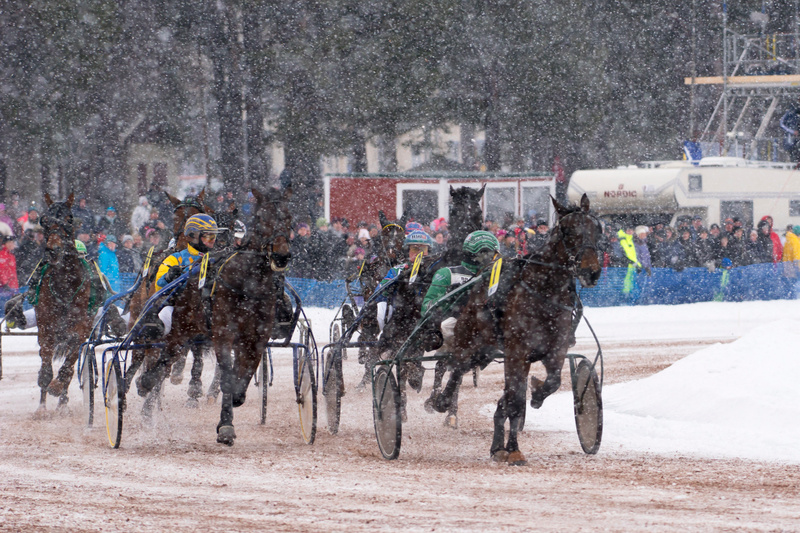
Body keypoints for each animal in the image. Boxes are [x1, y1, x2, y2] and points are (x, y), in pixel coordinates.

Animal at [31, 194, 95, 416]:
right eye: (44, 220)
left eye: (69, 219)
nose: (53, 250)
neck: (66, 285)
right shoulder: (46, 325)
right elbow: (45, 366)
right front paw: (42, 406)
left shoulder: (81, 326)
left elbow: (69, 362)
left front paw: (59, 389)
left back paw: (62, 401)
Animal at [211, 187, 292, 444]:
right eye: (263, 218)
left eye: (289, 218)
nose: (281, 256)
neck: (250, 283)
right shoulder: (223, 332)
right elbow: (227, 378)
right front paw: (226, 426)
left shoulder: (256, 337)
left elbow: (243, 375)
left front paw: (237, 400)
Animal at [428, 193, 604, 464]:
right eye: (567, 230)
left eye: (596, 228)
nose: (591, 271)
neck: (544, 291)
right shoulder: (516, 351)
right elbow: (515, 399)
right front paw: (512, 448)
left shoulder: (554, 350)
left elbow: (550, 383)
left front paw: (536, 395)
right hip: (471, 340)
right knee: (455, 366)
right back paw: (442, 401)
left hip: (487, 353)